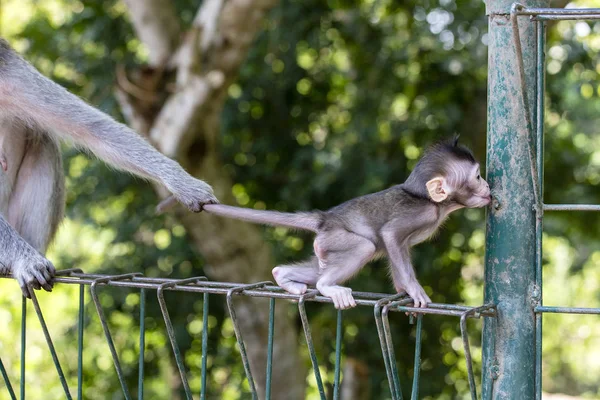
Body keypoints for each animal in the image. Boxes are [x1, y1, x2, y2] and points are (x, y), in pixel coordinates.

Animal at [161, 138, 492, 310]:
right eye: (477, 176)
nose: (489, 187)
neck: (432, 202)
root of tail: (326, 217)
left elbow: (396, 251)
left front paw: (402, 290)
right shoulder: (419, 214)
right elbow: (390, 236)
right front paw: (414, 290)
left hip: (327, 244)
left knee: (313, 266)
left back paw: (284, 277)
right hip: (336, 238)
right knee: (363, 248)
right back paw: (327, 287)